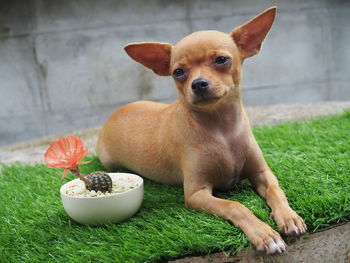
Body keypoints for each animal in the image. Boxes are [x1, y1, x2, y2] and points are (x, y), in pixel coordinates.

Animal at [97, 7, 304, 255]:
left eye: (221, 60)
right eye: (178, 72)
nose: (198, 84)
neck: (221, 130)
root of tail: (114, 114)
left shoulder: (262, 173)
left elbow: (276, 191)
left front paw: (289, 217)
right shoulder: (197, 193)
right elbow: (235, 206)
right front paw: (263, 233)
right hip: (109, 162)